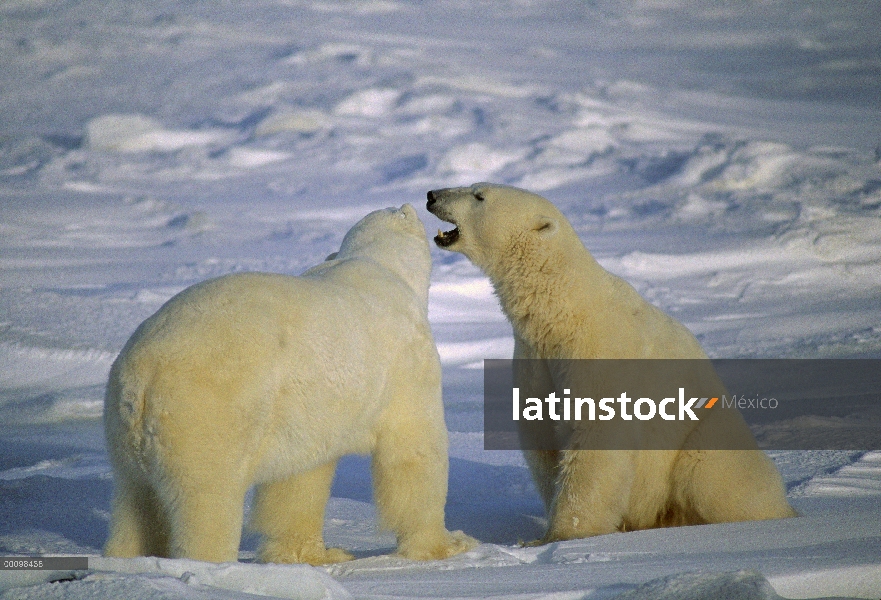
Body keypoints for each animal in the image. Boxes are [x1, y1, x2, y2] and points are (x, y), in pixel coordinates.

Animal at [106, 204, 478, 564]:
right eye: (401, 213)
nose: (416, 202)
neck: (379, 264)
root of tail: (144, 379)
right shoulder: (407, 363)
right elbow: (414, 451)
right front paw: (448, 544)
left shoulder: (309, 413)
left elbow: (300, 481)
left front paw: (315, 556)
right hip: (205, 414)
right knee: (206, 501)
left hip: (126, 438)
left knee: (136, 505)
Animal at [426, 183, 796, 544]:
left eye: (479, 195)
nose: (432, 195)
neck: (563, 308)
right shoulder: (535, 359)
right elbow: (542, 434)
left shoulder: (598, 349)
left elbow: (597, 435)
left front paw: (561, 535)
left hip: (704, 438)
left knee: (716, 480)